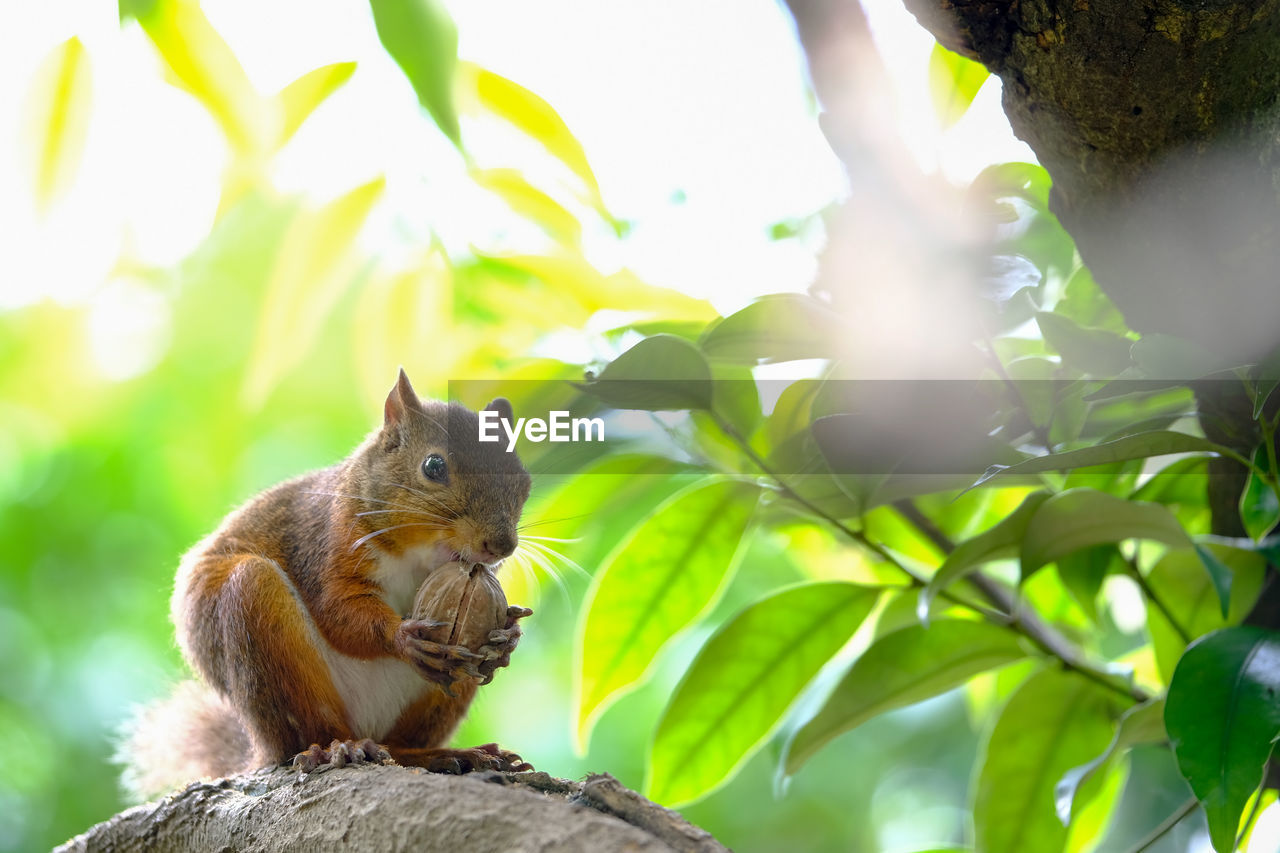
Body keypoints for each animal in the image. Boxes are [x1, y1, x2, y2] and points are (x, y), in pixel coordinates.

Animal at [122, 366, 532, 799]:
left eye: (523, 479)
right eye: (433, 466)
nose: (501, 546)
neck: (419, 555)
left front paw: (507, 634)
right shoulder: (325, 543)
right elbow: (339, 612)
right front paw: (403, 638)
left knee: (399, 745)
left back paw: (443, 755)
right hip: (264, 626)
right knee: (309, 733)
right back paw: (336, 748)